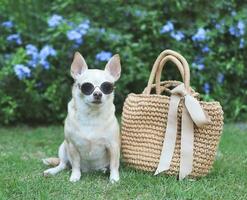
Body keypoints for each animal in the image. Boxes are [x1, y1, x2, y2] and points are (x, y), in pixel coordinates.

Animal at [43, 52, 122, 183]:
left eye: (107, 87)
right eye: (87, 87)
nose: (98, 94)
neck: (91, 114)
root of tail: (90, 170)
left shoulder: (113, 146)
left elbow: (114, 164)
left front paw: (114, 178)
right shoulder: (72, 146)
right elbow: (75, 164)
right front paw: (75, 176)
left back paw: (104, 170)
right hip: (63, 147)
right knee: (63, 164)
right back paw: (52, 171)